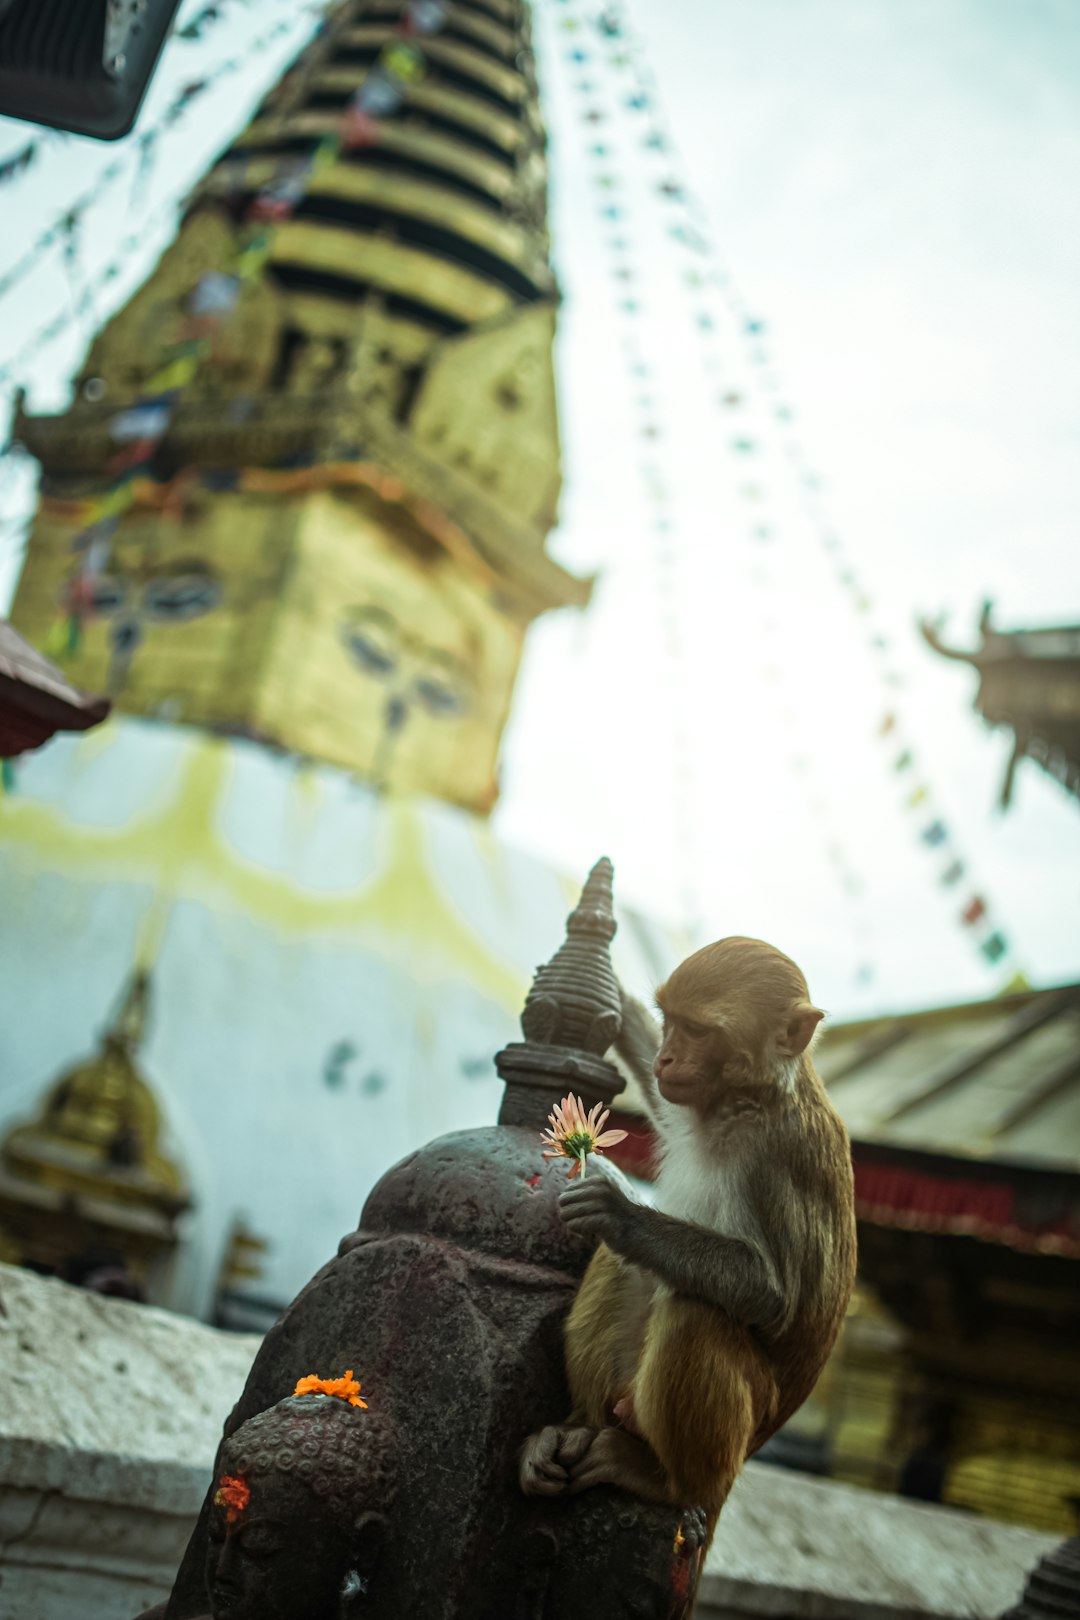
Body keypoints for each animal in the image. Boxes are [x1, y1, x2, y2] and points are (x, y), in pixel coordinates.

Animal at [518, 933, 854, 1535]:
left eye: (697, 1031)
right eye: (670, 1023)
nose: (667, 1058)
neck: (743, 1103)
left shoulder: (782, 1155)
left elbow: (775, 1297)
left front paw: (619, 1212)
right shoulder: (684, 1103)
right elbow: (657, 1094)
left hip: (735, 1436)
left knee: (693, 1311)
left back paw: (666, 1482)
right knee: (623, 1266)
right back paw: (573, 1428)